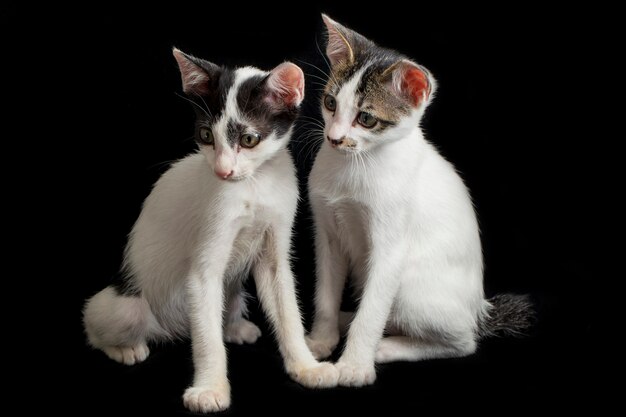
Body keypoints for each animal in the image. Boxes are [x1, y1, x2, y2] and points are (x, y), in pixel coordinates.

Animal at [84, 47, 336, 412]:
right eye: (206, 136)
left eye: (249, 139)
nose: (222, 171)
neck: (252, 186)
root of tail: (171, 330)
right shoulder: (205, 265)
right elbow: (207, 338)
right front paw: (210, 389)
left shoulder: (275, 248)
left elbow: (288, 311)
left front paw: (306, 367)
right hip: (127, 307)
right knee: (96, 323)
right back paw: (126, 347)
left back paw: (235, 327)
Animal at [304, 16, 528, 386]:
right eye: (331, 103)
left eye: (366, 118)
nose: (334, 138)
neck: (354, 165)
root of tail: (480, 311)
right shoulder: (327, 236)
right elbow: (325, 294)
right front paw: (322, 340)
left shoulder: (390, 248)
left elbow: (373, 312)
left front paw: (354, 366)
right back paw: (345, 319)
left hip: (411, 288)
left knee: (463, 341)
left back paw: (386, 346)